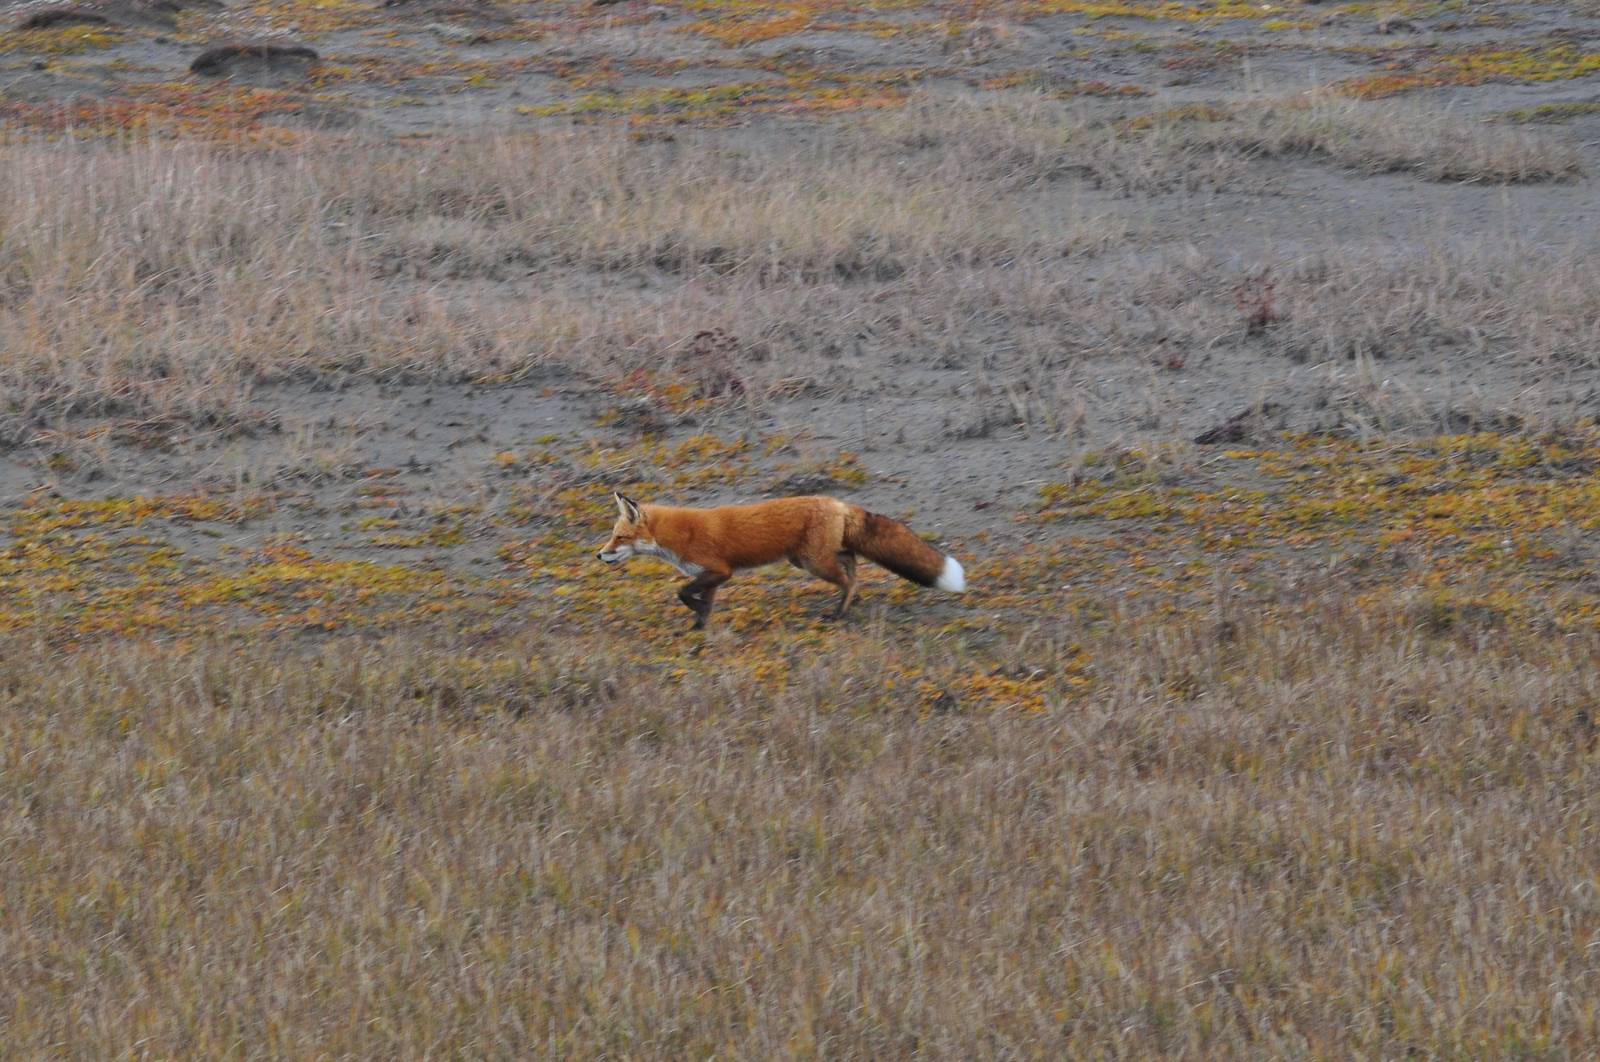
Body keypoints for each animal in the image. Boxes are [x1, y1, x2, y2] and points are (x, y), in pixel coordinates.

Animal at [597, 492, 966, 630]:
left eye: (619, 538)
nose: (599, 554)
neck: (677, 536)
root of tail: (837, 502)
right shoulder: (713, 575)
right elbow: (704, 602)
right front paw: (699, 626)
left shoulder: (720, 570)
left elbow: (684, 593)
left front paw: (697, 617)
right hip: (808, 558)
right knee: (851, 563)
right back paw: (854, 598)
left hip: (813, 562)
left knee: (847, 578)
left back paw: (840, 611)